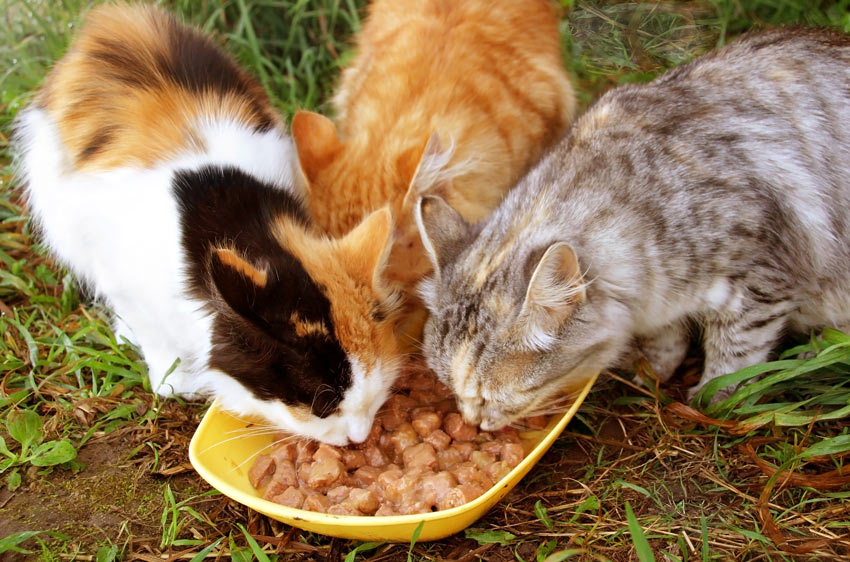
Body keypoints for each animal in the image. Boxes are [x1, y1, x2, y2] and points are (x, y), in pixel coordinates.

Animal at [13, 3, 404, 442]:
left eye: (376, 393)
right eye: (324, 406)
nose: (358, 436)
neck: (235, 221)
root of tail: (113, 17)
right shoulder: (123, 278)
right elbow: (152, 332)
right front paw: (172, 381)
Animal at [414, 27, 848, 428]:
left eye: (488, 397)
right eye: (449, 389)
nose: (472, 422)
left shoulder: (760, 280)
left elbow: (737, 353)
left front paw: (714, 399)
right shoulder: (658, 301)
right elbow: (666, 334)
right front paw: (655, 367)